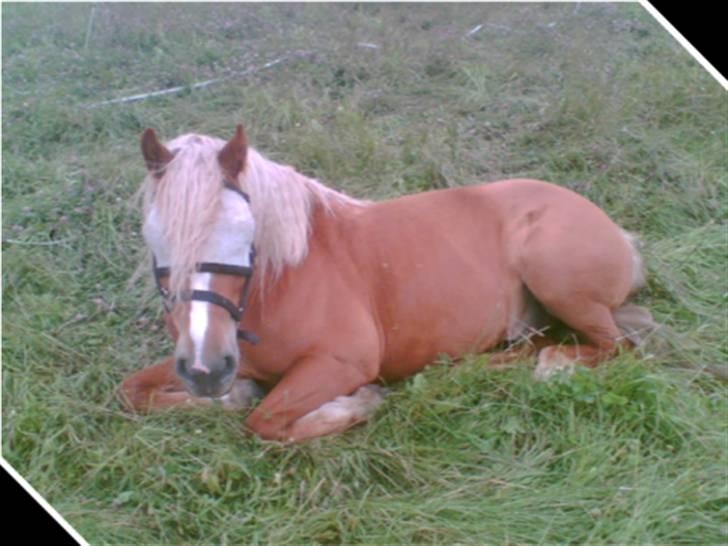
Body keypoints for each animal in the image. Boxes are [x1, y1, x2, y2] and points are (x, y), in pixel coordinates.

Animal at [119, 124, 656, 442]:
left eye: (244, 231)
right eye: (155, 235)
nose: (207, 369)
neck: (279, 285)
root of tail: (619, 234)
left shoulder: (344, 362)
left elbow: (266, 420)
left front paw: (355, 404)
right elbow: (131, 391)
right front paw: (230, 395)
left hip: (556, 280)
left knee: (616, 347)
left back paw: (553, 365)